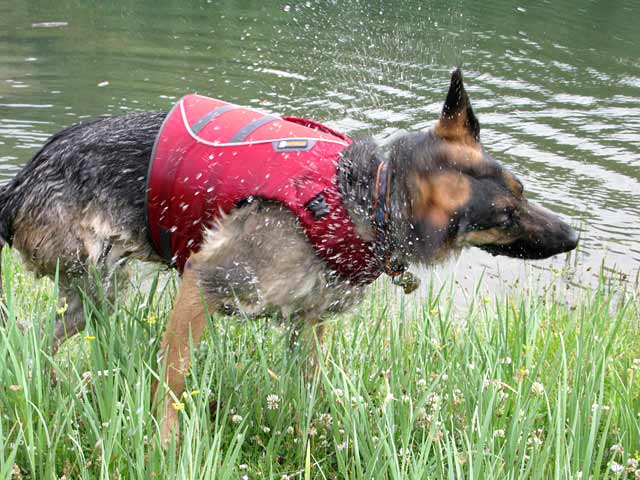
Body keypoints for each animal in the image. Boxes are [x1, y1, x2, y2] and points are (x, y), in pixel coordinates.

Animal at [0, 67, 580, 442]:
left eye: (523, 191)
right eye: (504, 216)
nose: (574, 236)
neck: (363, 198)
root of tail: (20, 181)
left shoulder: (310, 323)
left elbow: (311, 389)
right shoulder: (203, 282)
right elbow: (174, 382)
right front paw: (165, 447)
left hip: (92, 296)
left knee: (40, 336)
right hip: (99, 282)